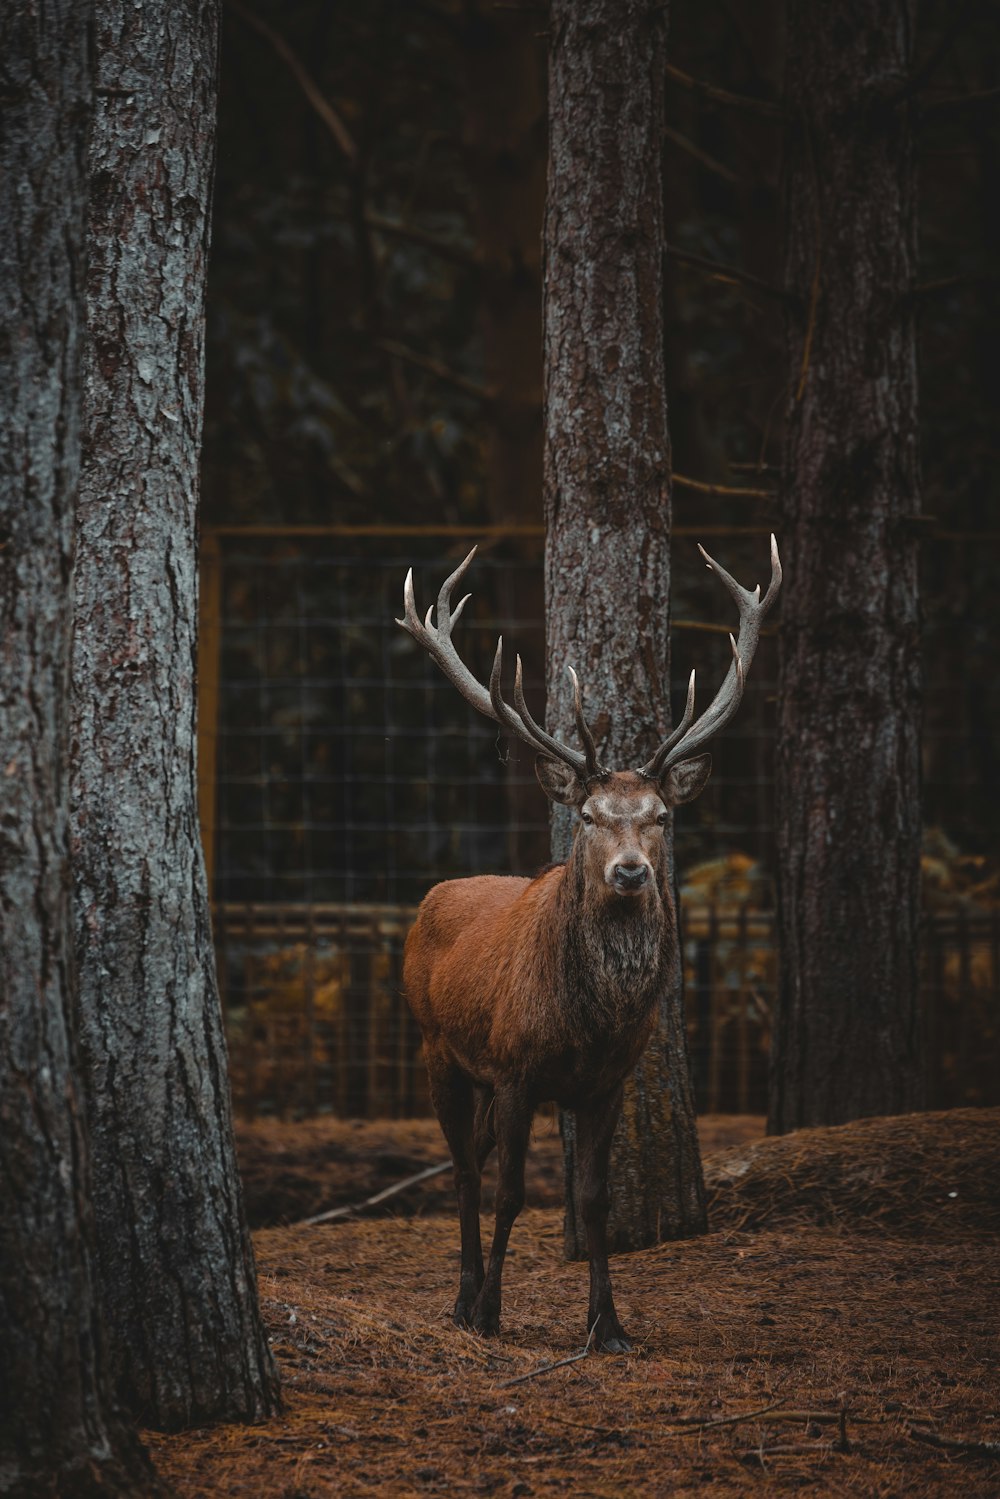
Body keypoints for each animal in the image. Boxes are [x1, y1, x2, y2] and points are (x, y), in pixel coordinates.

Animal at [398, 536, 779, 1349]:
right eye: (590, 815)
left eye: (662, 815)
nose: (630, 871)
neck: (589, 1021)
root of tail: (432, 897)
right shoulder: (515, 1068)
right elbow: (512, 1193)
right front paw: (492, 1313)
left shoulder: (607, 1081)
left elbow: (596, 1199)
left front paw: (607, 1324)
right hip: (438, 1047)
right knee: (466, 1171)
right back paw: (463, 1300)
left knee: (474, 1158)